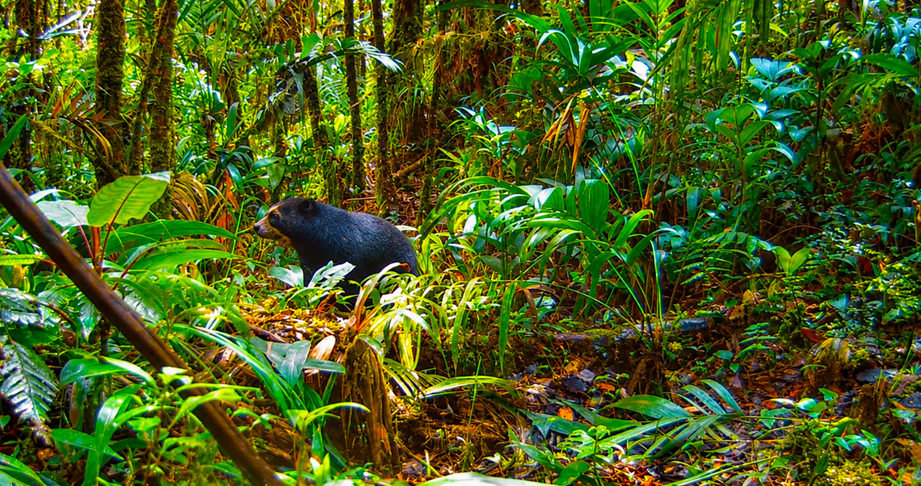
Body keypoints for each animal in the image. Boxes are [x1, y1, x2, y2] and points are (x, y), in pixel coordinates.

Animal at [254, 197, 418, 301]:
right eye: (267, 213)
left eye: (274, 216)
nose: (256, 226)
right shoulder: (310, 257)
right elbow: (309, 275)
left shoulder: (349, 258)